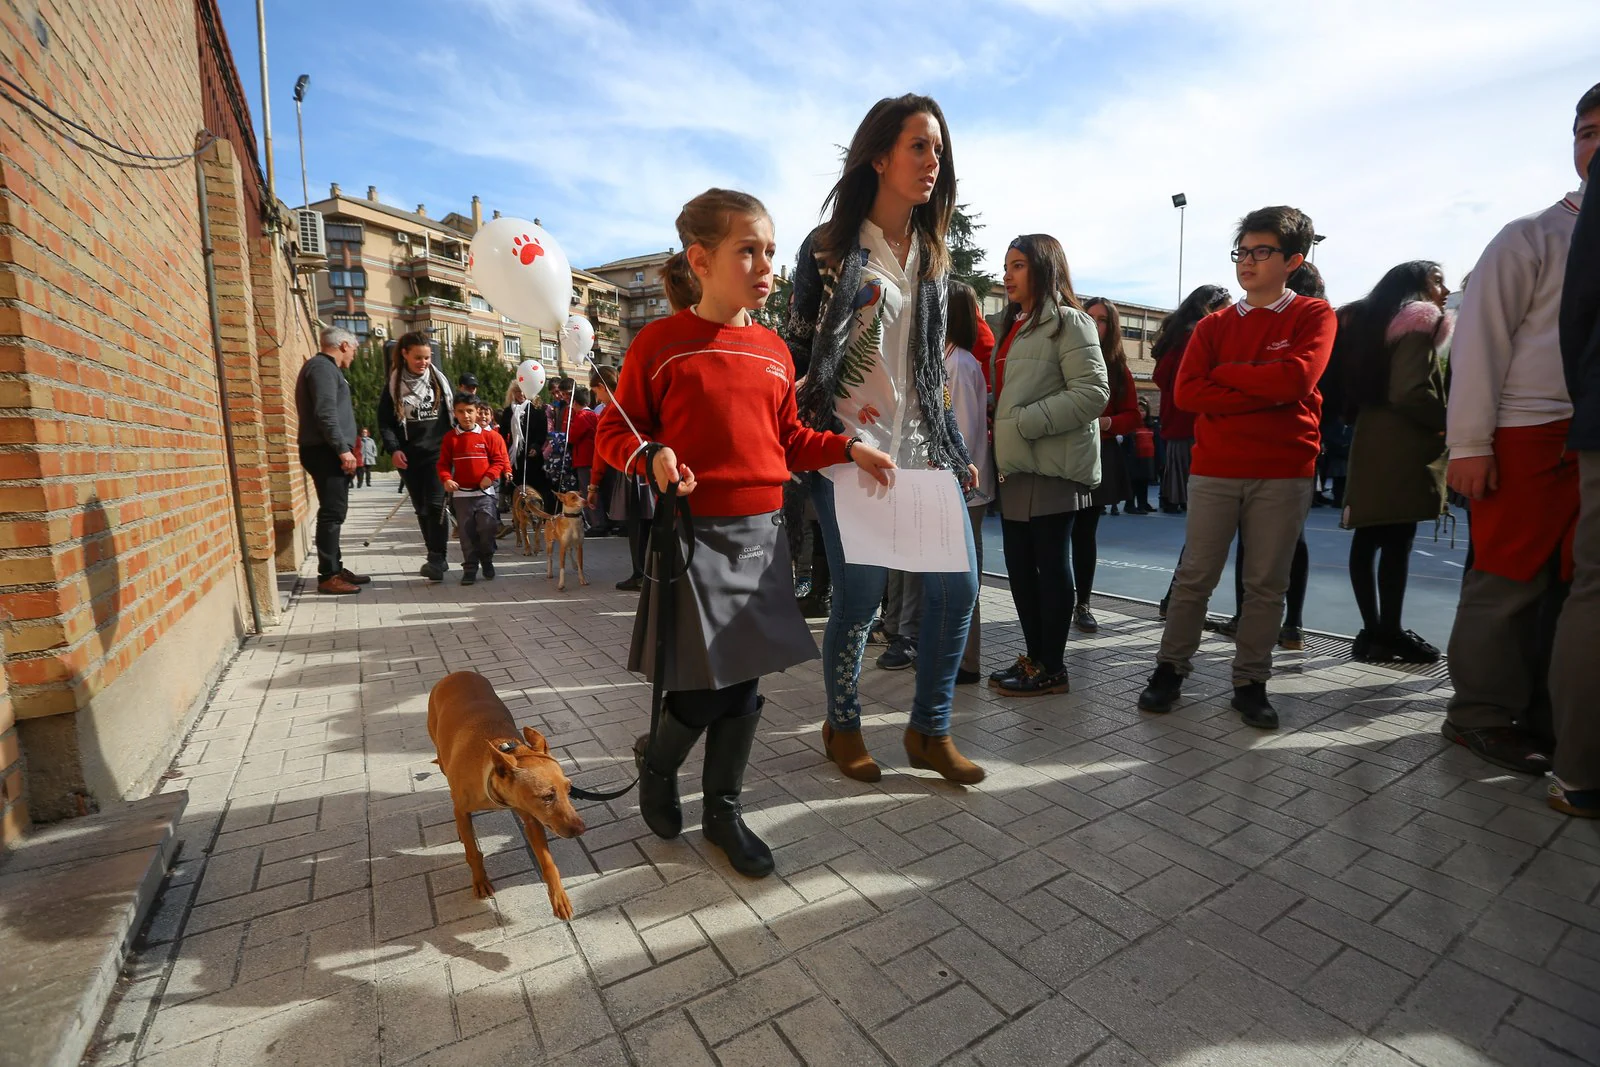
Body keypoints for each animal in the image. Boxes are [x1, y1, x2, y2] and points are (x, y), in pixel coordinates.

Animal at [425, 675, 588, 921]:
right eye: (547, 796)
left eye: (569, 789)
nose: (581, 829)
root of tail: (456, 673)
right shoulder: (462, 808)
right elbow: (472, 851)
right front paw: (480, 880)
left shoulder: (531, 819)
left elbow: (548, 863)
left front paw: (558, 897)